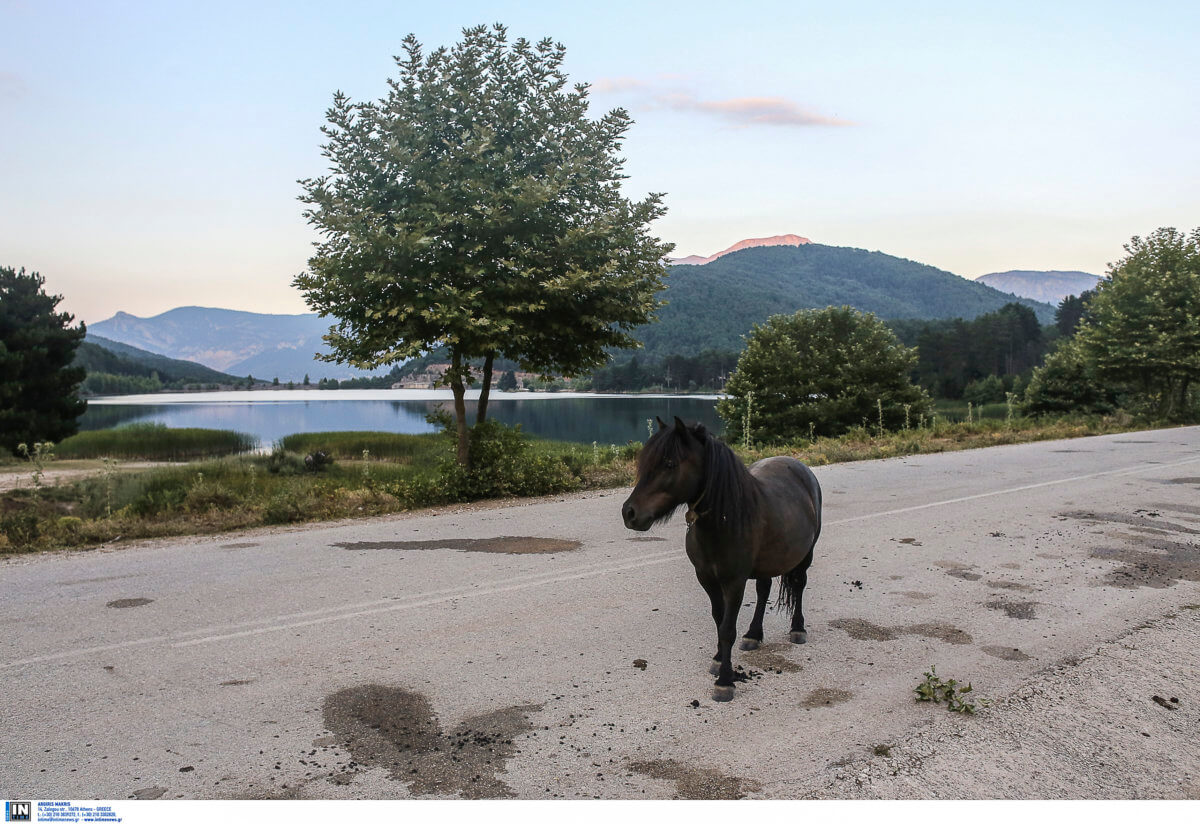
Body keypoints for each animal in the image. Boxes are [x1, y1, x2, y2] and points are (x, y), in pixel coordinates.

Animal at [624, 414, 820, 700]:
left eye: (669, 463)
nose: (629, 513)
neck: (725, 518)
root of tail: (800, 467)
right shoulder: (706, 578)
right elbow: (719, 619)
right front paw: (718, 660)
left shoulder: (734, 582)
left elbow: (727, 628)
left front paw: (725, 681)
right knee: (764, 588)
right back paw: (753, 634)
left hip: (806, 555)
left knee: (799, 585)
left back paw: (797, 629)